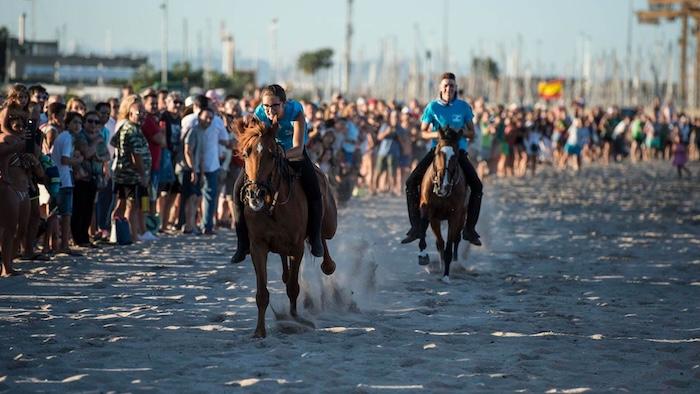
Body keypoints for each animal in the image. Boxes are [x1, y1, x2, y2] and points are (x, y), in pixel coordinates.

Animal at [234, 117, 338, 338]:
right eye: (246, 153)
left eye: (272, 154)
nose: (255, 194)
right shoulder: (258, 247)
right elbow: (262, 293)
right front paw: (259, 331)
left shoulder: (296, 247)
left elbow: (293, 287)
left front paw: (295, 319)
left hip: (329, 224)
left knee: (322, 237)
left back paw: (327, 263)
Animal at [418, 127, 468, 284]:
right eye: (438, 152)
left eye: (456, 155)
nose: (443, 185)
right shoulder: (430, 213)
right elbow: (436, 240)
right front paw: (424, 257)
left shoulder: (455, 215)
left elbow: (449, 245)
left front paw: (446, 275)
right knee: (439, 242)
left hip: (462, 216)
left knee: (456, 239)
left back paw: (455, 263)